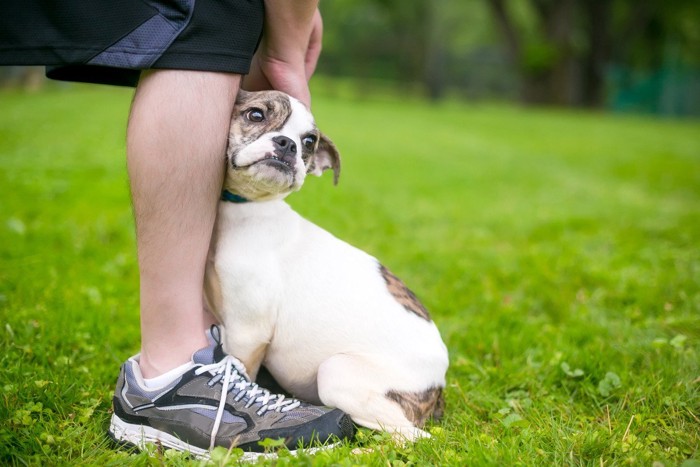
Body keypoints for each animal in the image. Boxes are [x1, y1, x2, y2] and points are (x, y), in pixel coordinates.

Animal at [205, 89, 452, 440]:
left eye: (309, 141)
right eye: (256, 115)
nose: (288, 145)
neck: (247, 209)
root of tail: (439, 385)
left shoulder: (246, 331)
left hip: (336, 373)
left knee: (411, 437)